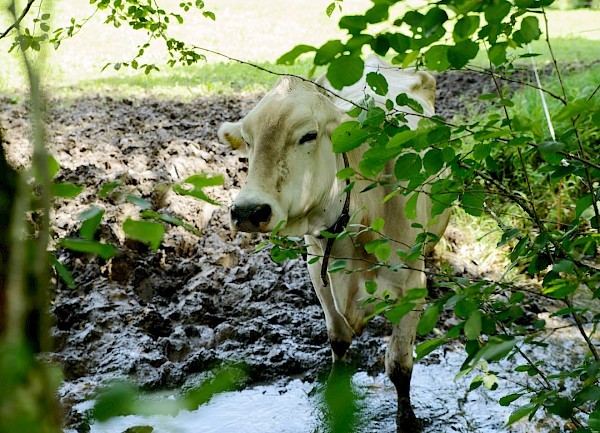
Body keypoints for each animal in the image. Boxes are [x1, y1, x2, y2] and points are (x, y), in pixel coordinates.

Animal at [218, 55, 448, 430]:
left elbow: (399, 366)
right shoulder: (319, 274)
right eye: (248, 141)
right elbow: (338, 341)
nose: (249, 211)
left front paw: (407, 418)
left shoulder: (411, 288)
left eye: (308, 135)